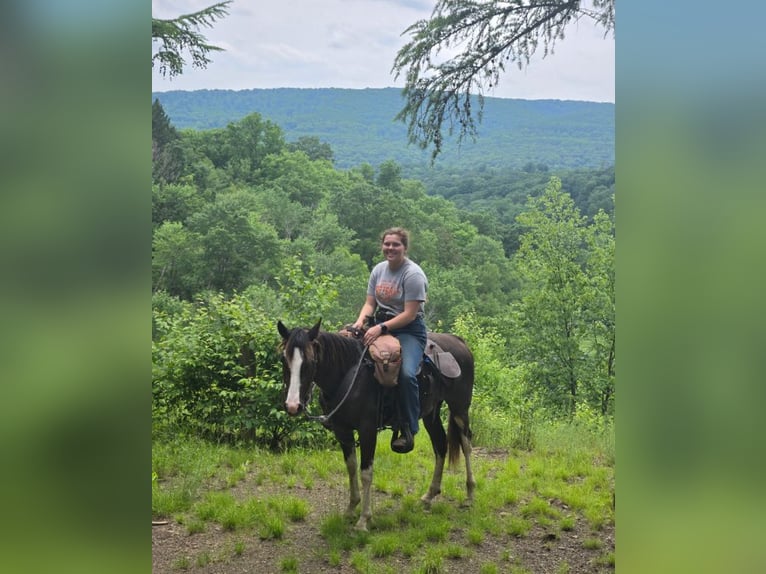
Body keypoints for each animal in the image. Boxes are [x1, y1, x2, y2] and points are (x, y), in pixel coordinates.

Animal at [277, 318, 476, 531]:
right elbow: (351, 467)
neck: (348, 374)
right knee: (440, 445)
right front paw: (351, 508)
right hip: (431, 413)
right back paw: (429, 496)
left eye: (311, 361)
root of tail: (459, 341)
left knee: (466, 445)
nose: (293, 406)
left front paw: (364, 519)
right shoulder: (342, 431)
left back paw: (470, 494)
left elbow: (366, 472)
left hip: (459, 408)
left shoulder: (367, 430)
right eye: (283, 360)